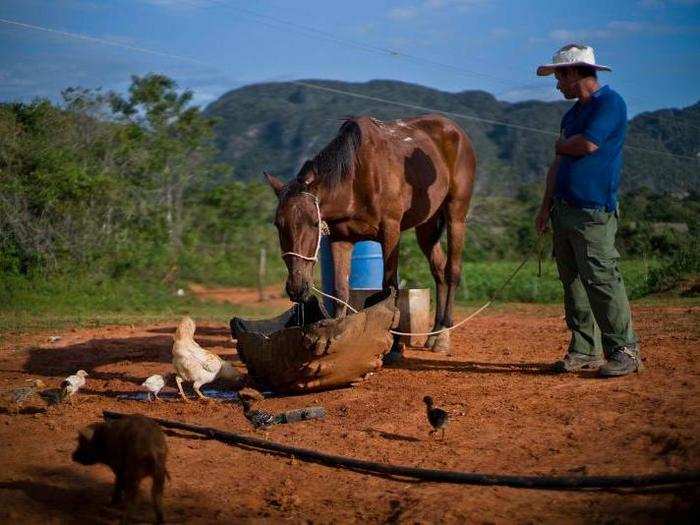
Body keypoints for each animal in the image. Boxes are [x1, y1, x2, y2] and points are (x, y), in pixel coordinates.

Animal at [266, 114, 476, 352]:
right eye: (278, 224)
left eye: (314, 223)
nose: (296, 288)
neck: (357, 179)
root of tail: (456, 131)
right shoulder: (341, 239)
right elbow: (340, 291)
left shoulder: (391, 232)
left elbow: (389, 288)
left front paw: (393, 346)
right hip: (427, 226)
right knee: (438, 270)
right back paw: (434, 333)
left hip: (456, 214)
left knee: (452, 271)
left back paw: (443, 336)